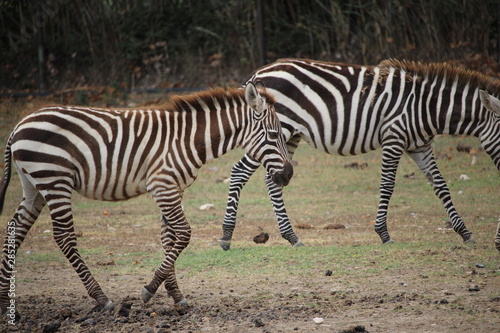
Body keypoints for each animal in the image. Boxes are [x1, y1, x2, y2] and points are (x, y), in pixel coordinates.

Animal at [0, 81, 292, 316]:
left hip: (34, 186)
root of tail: (18, 126)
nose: (289, 174)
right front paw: (149, 290)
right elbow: (184, 234)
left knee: (15, 230)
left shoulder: (173, 189)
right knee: (63, 237)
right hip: (54, 179)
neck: (187, 140)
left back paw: (5, 301)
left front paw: (176, 295)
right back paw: (101, 298)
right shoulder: (163, 186)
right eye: (274, 134)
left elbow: (169, 237)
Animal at [219, 57, 500, 249]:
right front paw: (383, 233)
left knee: (272, 179)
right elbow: (387, 184)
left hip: (289, 137)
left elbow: (441, 185)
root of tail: (258, 72)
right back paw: (226, 235)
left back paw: (291, 236)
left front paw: (465, 232)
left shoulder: (419, 146)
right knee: (239, 172)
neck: (425, 107)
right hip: (274, 134)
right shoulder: (394, 138)